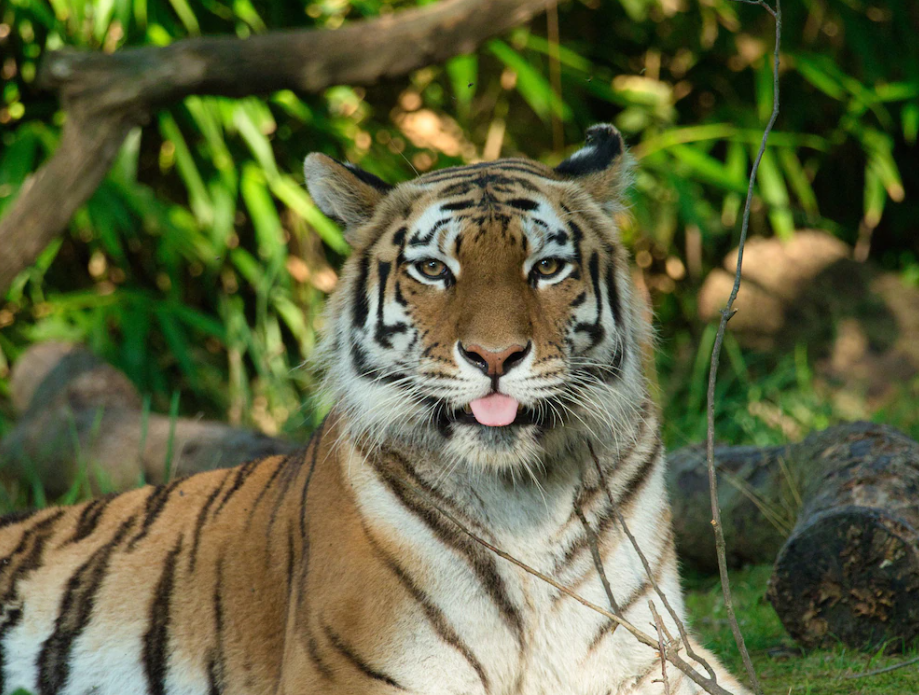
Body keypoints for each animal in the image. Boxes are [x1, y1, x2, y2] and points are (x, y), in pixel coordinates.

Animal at [0, 126, 752, 695]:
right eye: (434, 271)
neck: (522, 499)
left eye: (544, 268)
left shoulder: (652, 655)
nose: (495, 355)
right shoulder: (356, 675)